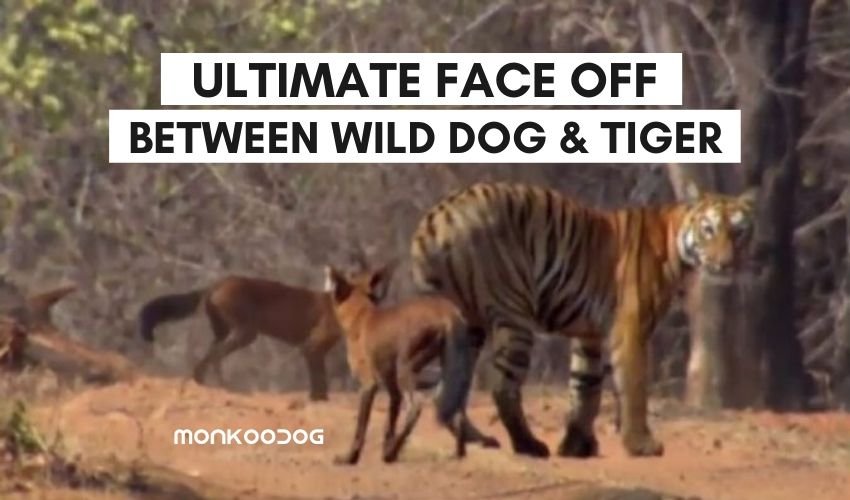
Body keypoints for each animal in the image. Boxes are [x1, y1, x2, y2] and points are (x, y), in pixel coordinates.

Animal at [409, 181, 755, 459]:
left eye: (739, 232)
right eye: (709, 230)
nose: (726, 264)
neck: (677, 243)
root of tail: (434, 218)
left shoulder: (589, 334)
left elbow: (585, 388)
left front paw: (577, 446)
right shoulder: (629, 329)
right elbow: (634, 389)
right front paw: (641, 444)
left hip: (467, 325)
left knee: (447, 389)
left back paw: (478, 439)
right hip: (514, 314)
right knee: (502, 386)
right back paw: (528, 445)